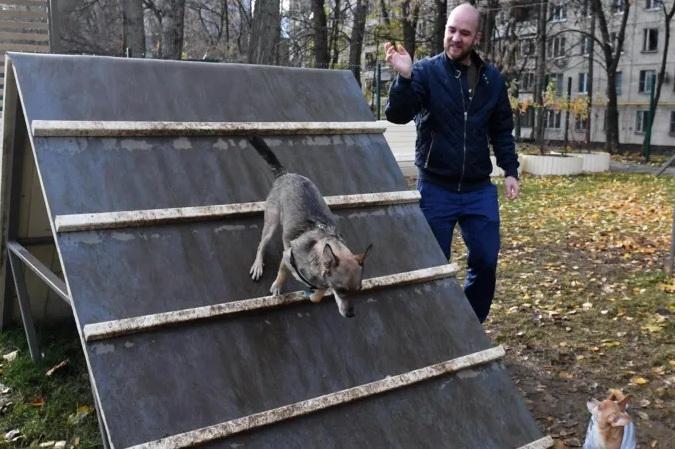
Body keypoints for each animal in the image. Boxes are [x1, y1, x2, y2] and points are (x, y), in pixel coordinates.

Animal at [250, 135, 374, 316]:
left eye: (358, 291)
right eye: (341, 290)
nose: (350, 314)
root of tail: (286, 174)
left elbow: (318, 295)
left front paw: (314, 294)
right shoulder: (287, 256)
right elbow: (282, 273)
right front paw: (278, 286)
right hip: (271, 223)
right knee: (261, 244)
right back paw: (258, 265)